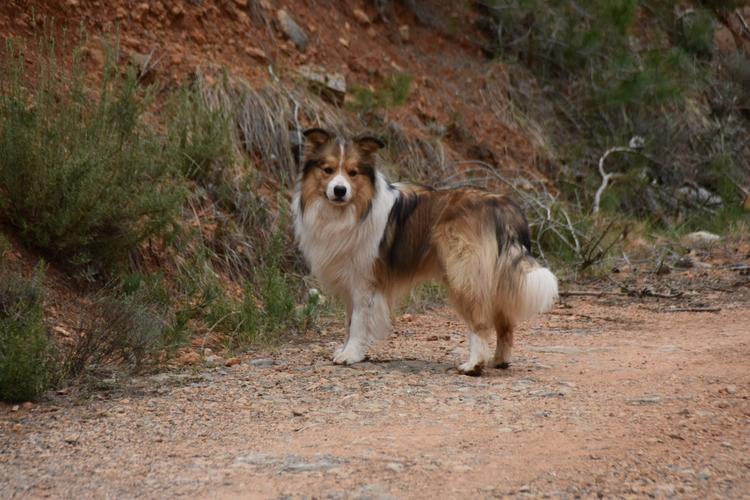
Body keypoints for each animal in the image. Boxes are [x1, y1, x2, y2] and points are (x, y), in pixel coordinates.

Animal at [294, 129, 560, 376]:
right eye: (327, 170)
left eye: (353, 173)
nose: (339, 190)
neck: (354, 208)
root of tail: (501, 204)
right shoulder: (351, 283)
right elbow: (349, 322)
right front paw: (346, 350)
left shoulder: (365, 281)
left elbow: (359, 322)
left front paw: (350, 355)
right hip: (495, 279)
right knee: (505, 323)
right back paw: (499, 360)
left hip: (464, 274)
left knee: (480, 322)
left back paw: (474, 364)